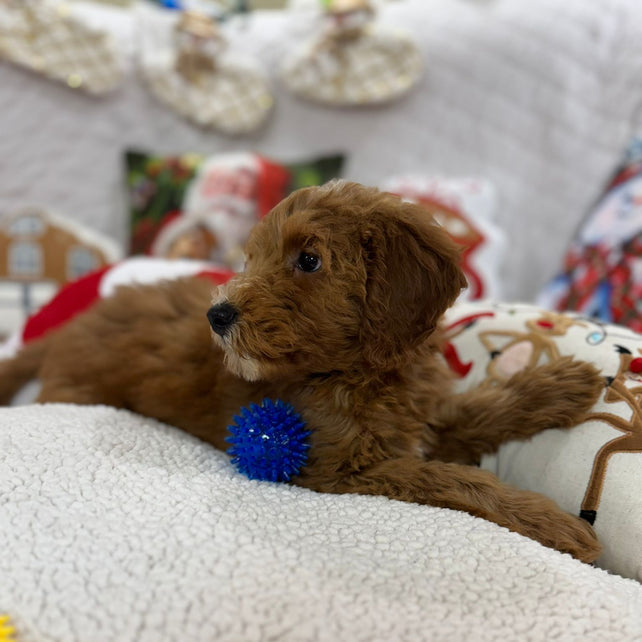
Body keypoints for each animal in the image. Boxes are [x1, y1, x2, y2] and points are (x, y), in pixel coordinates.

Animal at [0, 180, 600, 560]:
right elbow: (451, 477)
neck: (363, 374)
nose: (217, 316)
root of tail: (68, 328)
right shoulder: (341, 470)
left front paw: (562, 385)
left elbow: (479, 410)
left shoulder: (426, 414)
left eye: (308, 260)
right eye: (251, 258)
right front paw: (552, 522)